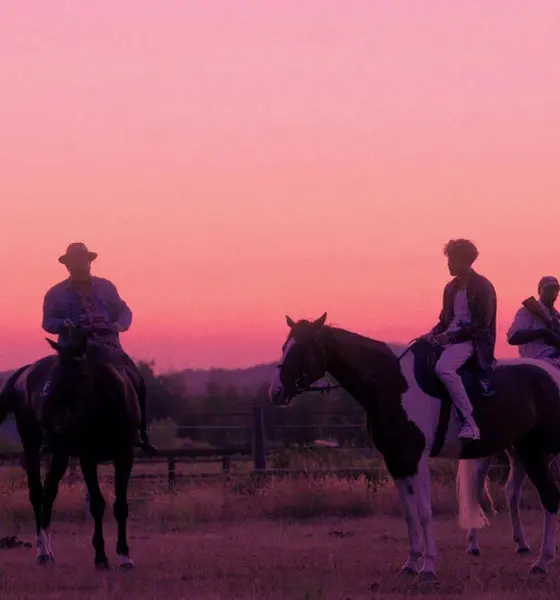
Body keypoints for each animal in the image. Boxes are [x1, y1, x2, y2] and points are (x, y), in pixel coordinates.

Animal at [0, 329, 141, 570]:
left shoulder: (125, 455)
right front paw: (101, 557)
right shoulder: (87, 457)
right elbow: (97, 503)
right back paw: (41, 552)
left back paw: (48, 551)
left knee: (49, 493)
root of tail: (24, 372)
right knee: (36, 493)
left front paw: (124, 556)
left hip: (60, 454)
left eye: (80, 375)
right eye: (55, 377)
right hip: (31, 443)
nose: (54, 422)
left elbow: (121, 505)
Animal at [269, 313, 560, 581]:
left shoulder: (416, 458)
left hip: (536, 452)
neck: (391, 385)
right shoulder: (396, 461)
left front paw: (428, 567)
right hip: (524, 451)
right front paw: (410, 564)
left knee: (549, 497)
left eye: (301, 348)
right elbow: (409, 514)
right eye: (284, 346)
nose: (276, 391)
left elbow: (423, 512)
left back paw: (542, 562)